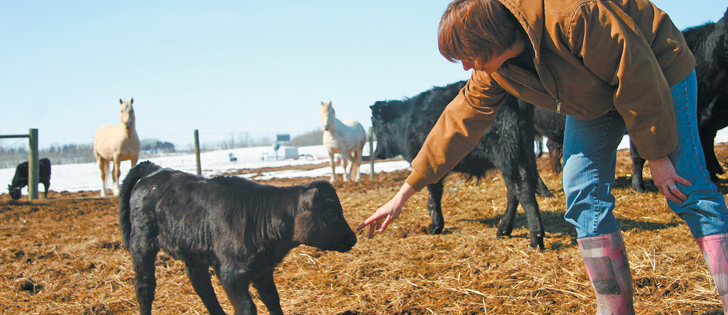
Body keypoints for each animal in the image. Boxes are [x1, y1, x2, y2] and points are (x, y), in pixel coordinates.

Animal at [119, 162, 358, 315]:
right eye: (330, 213)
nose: (352, 238)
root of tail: (156, 171)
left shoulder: (263, 269)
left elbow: (273, 300)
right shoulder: (231, 272)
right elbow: (247, 308)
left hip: (193, 249)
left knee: (202, 286)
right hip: (141, 242)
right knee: (144, 286)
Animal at [372, 82, 548, 251]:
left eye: (376, 127)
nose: (377, 153)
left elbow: (434, 197)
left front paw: (436, 226)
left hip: (506, 152)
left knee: (522, 190)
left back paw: (535, 239)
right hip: (521, 152)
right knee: (514, 191)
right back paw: (504, 230)